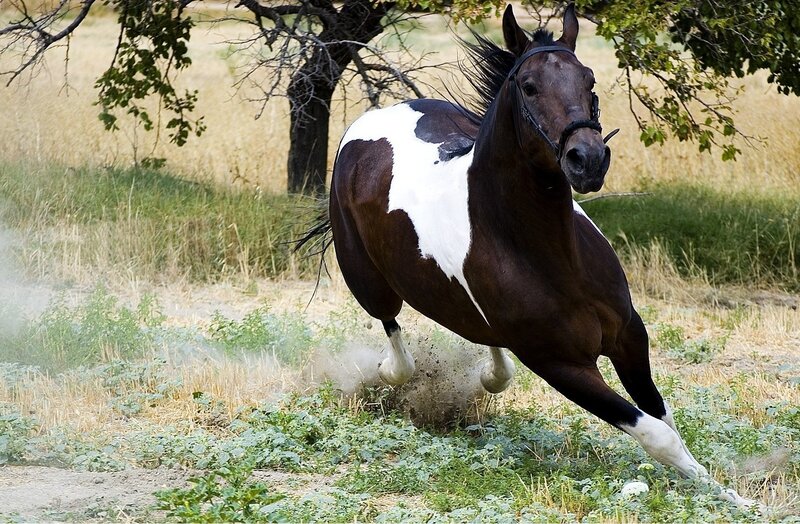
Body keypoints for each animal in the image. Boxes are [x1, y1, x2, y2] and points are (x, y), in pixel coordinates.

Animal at [317, 4, 753, 506]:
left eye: (589, 81)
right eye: (528, 86)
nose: (587, 160)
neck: (553, 257)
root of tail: (368, 123)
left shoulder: (629, 334)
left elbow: (663, 415)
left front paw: (729, 494)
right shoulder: (559, 364)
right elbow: (656, 433)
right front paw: (737, 500)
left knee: (482, 337)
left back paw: (491, 375)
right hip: (367, 281)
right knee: (394, 335)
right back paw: (390, 372)